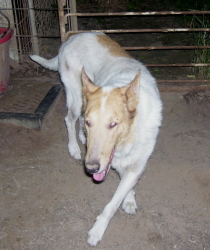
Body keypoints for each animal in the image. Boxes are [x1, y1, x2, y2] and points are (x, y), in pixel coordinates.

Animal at [30, 32, 162, 246]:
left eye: (113, 124)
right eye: (91, 123)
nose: (91, 168)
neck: (129, 136)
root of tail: (70, 38)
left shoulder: (133, 164)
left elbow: (122, 191)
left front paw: (129, 199)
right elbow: (112, 204)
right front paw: (97, 231)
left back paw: (82, 139)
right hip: (76, 99)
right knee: (69, 120)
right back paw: (74, 147)